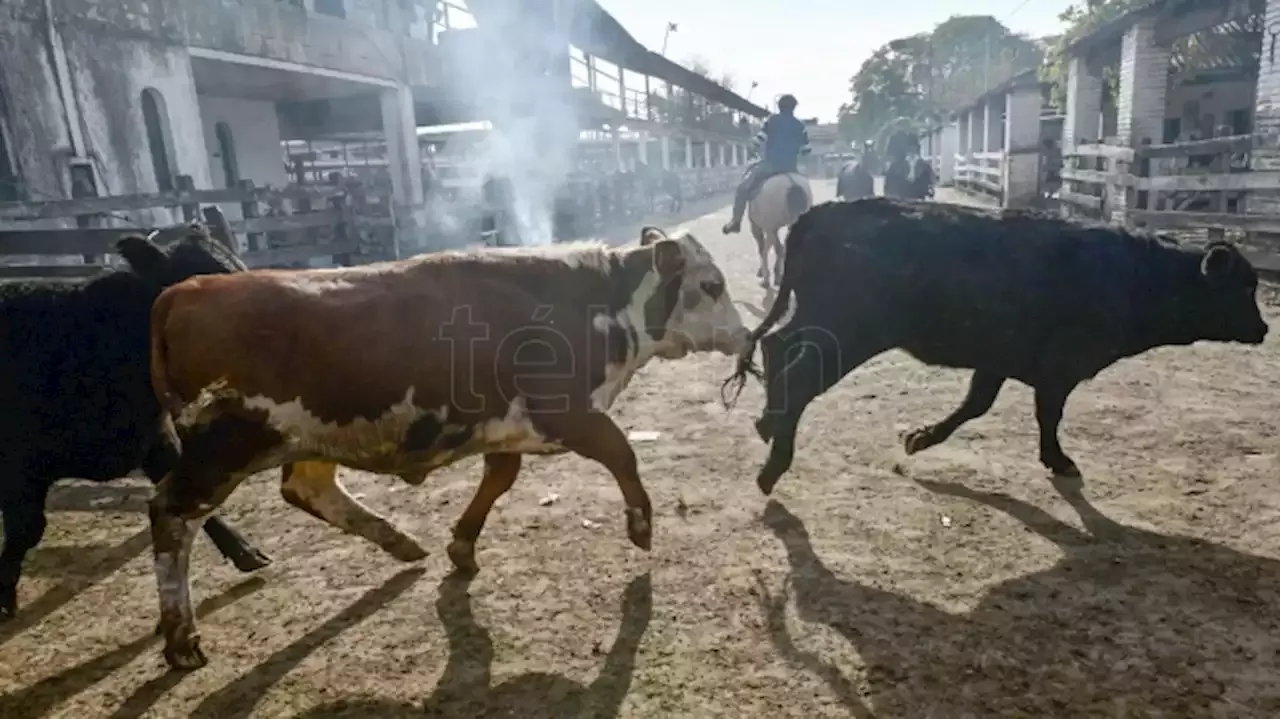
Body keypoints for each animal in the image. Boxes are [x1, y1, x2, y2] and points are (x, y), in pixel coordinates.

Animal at [147, 223, 747, 665]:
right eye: (711, 285)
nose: (744, 335)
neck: (588, 303)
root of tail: (184, 291)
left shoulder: (505, 424)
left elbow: (500, 479)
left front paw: (461, 545)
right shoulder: (567, 413)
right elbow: (621, 451)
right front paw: (641, 525)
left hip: (302, 437)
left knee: (306, 488)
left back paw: (398, 541)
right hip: (223, 449)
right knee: (171, 514)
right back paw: (181, 638)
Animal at [721, 198, 1269, 496]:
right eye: (1243, 289)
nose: (1264, 329)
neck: (1136, 276)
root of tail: (824, 213)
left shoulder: (997, 359)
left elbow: (975, 405)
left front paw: (919, 438)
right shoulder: (1058, 369)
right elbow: (1046, 415)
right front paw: (1060, 461)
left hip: (820, 319)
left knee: (777, 346)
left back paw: (767, 424)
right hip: (849, 330)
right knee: (798, 374)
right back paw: (773, 465)